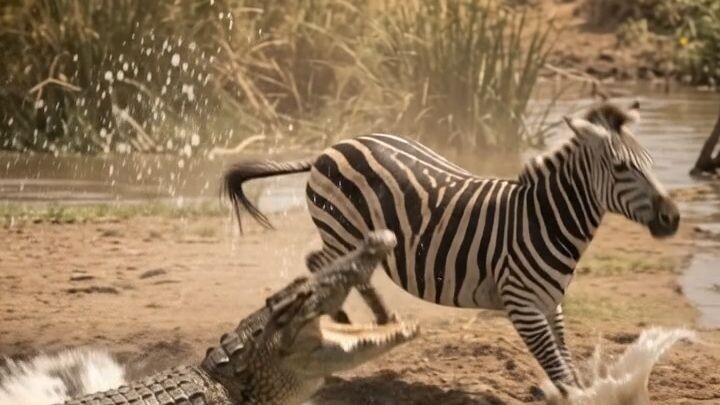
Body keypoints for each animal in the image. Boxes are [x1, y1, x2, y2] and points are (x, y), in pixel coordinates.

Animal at [222, 101, 680, 392]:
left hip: (345, 232)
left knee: (330, 265)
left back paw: (376, 317)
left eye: (651, 164)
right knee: (320, 261)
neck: (542, 219)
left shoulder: (551, 303)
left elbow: (564, 362)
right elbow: (561, 373)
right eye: (621, 168)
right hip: (342, 230)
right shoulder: (523, 305)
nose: (672, 218)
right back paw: (347, 316)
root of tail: (332, 146)